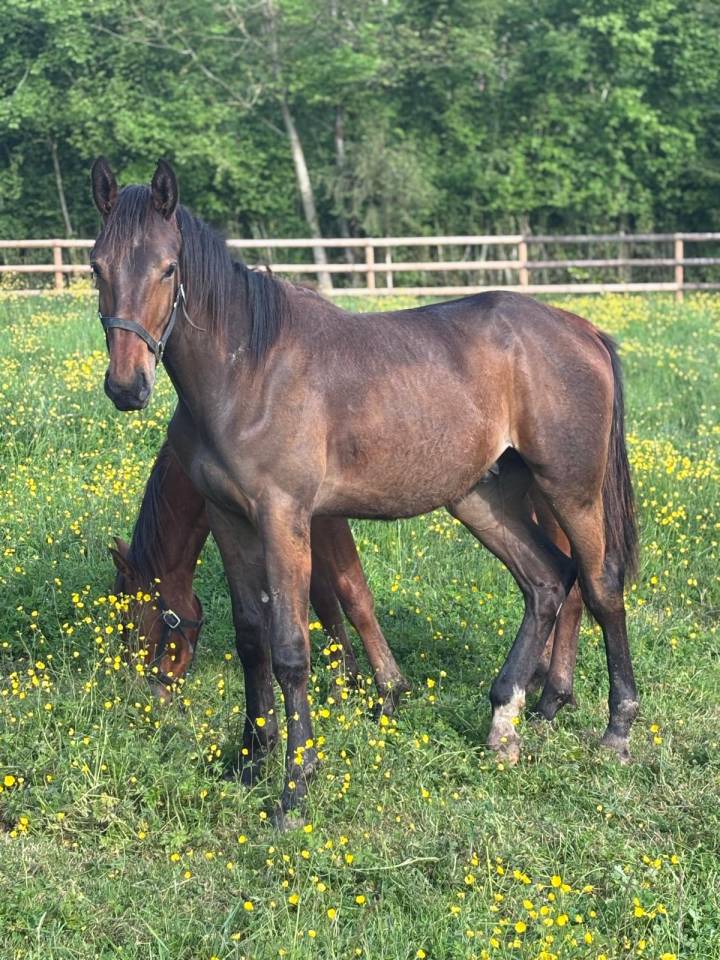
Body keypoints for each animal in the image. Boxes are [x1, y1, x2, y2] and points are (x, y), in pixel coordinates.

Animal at [91, 157, 638, 826]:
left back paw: (614, 728)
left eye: (168, 267)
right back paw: (505, 721)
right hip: (484, 498)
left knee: (599, 584)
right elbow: (251, 638)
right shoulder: (229, 519)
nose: (127, 386)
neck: (249, 371)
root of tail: (582, 331)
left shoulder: (287, 518)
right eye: (96, 266)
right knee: (547, 582)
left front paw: (296, 785)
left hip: (571, 490)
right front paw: (250, 763)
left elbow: (296, 643)